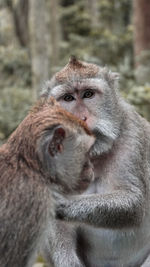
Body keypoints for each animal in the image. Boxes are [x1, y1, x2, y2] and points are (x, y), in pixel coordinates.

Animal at [41, 55, 150, 266]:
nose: (80, 118)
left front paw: (62, 204)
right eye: (68, 98)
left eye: (88, 94)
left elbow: (133, 202)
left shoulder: (132, 134)